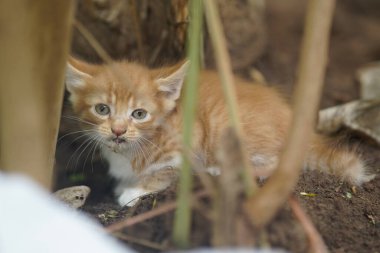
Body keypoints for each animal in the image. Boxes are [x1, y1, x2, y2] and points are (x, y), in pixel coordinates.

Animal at [64, 56, 374, 206]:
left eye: (139, 114)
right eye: (102, 109)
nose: (117, 131)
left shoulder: (190, 143)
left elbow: (167, 171)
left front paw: (134, 191)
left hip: (225, 124)